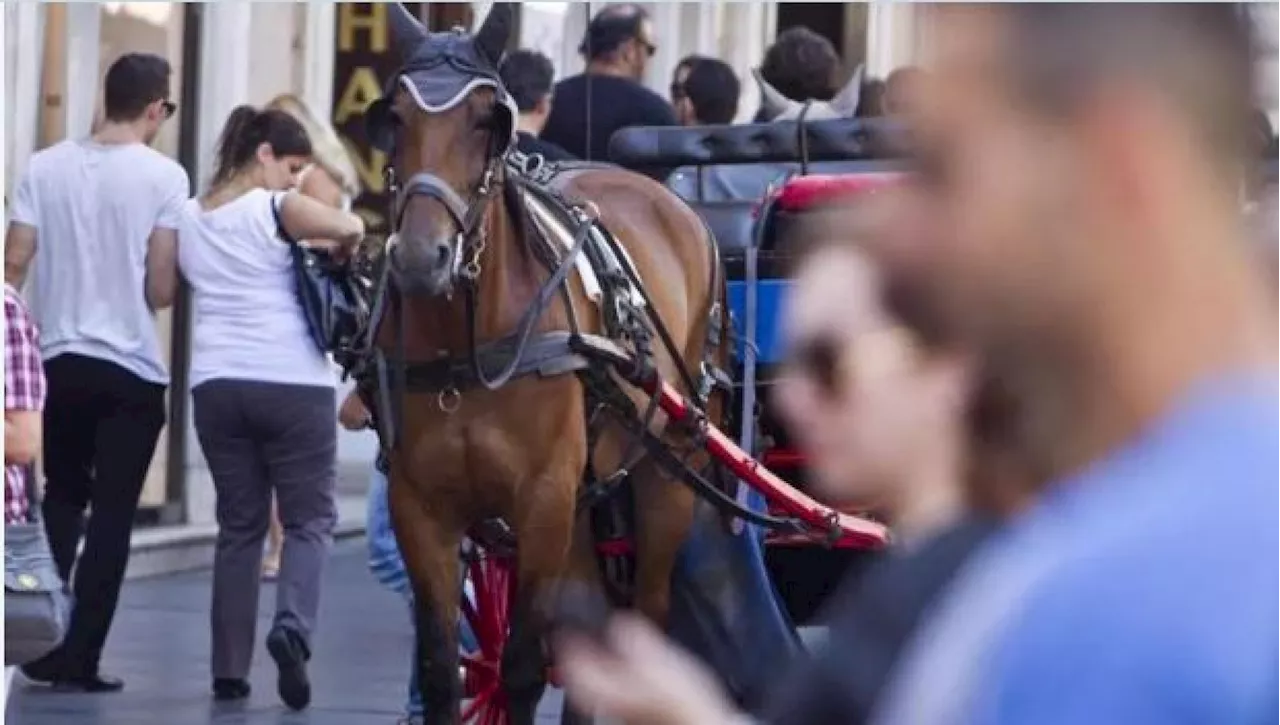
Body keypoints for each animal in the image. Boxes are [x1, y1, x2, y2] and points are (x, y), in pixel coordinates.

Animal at [371, 4, 727, 722]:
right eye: (392, 117)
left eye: (491, 120)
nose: (421, 258)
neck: (467, 350)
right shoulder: (419, 506)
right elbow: (442, 669)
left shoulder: (542, 500)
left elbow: (523, 667)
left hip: (665, 474)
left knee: (645, 621)